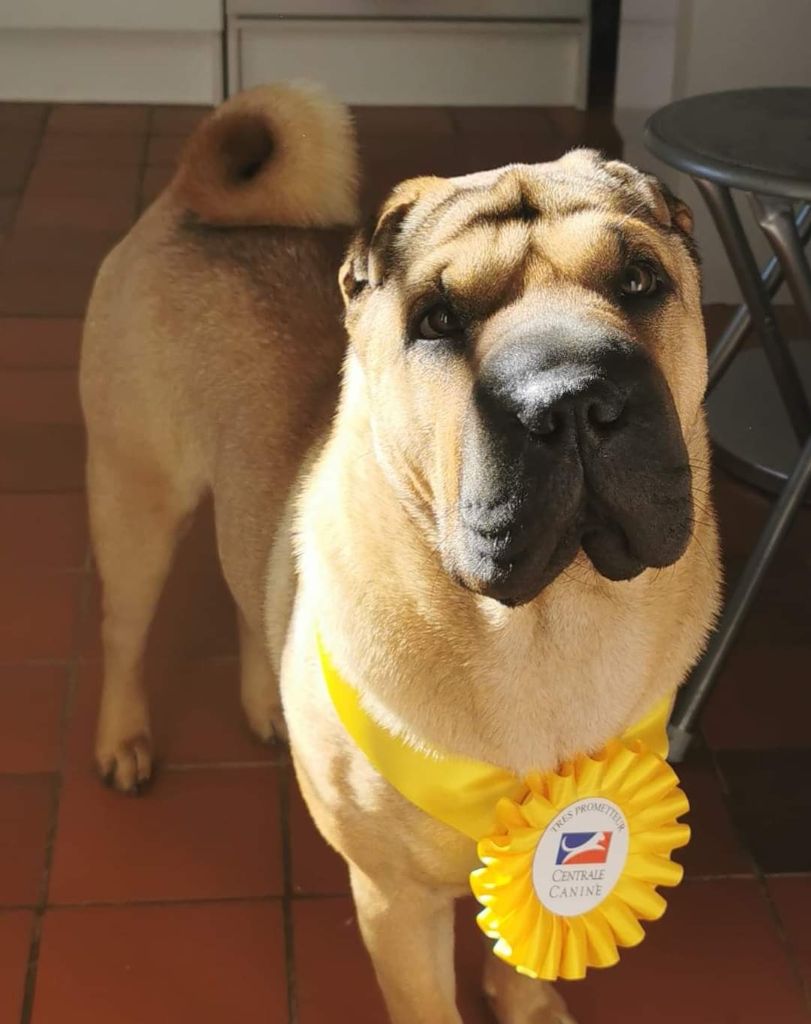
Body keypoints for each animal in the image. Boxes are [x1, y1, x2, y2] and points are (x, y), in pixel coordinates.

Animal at [79, 83, 720, 1019]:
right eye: (437, 319)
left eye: (639, 280)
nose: (568, 397)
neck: (544, 631)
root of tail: (188, 197)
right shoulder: (396, 901)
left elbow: (523, 958)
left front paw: (529, 1004)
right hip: (137, 493)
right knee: (124, 631)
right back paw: (123, 740)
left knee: (248, 590)